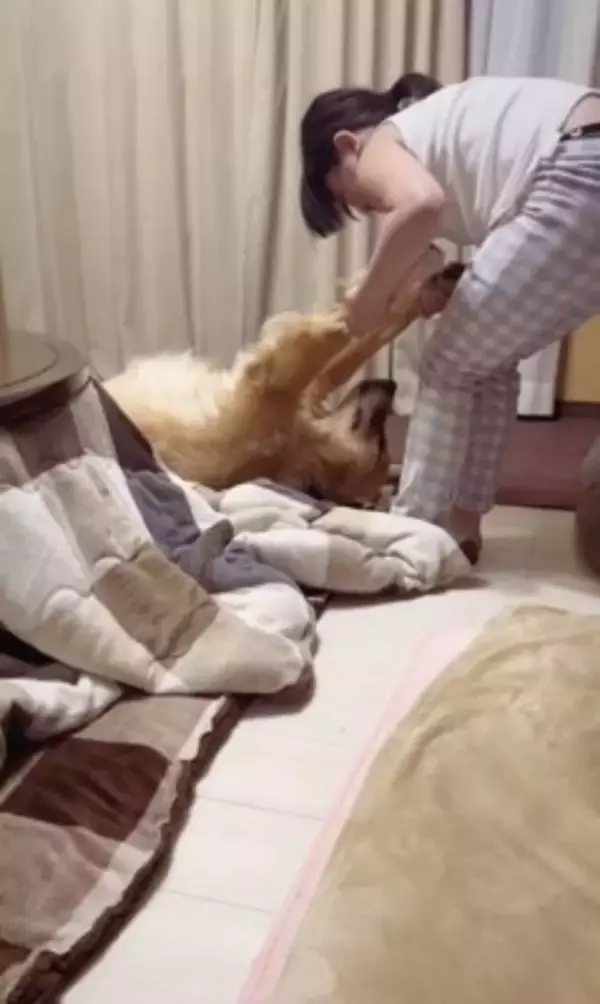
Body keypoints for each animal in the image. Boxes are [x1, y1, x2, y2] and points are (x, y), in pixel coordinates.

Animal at [105, 261, 464, 506]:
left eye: (380, 450)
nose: (392, 386)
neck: (302, 442)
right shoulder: (307, 386)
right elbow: (365, 335)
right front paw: (433, 285)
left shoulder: (274, 377)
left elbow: (341, 331)